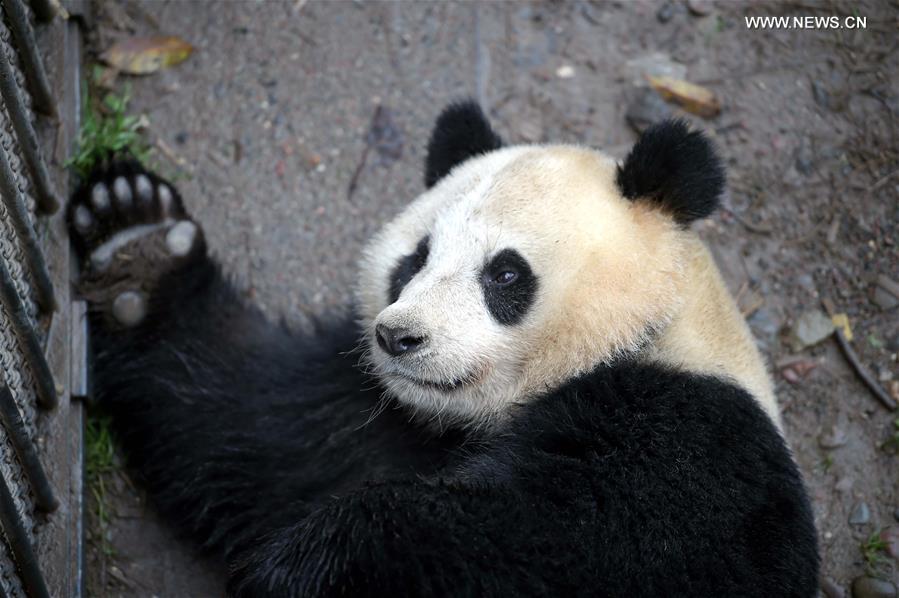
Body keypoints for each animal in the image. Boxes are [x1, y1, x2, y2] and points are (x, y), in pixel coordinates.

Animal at [67, 103, 820, 598]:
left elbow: (548, 548)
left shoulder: (687, 443)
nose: (399, 337)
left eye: (505, 274)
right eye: (414, 260)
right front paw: (137, 250)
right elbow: (249, 434)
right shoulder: (376, 415)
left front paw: (317, 565)